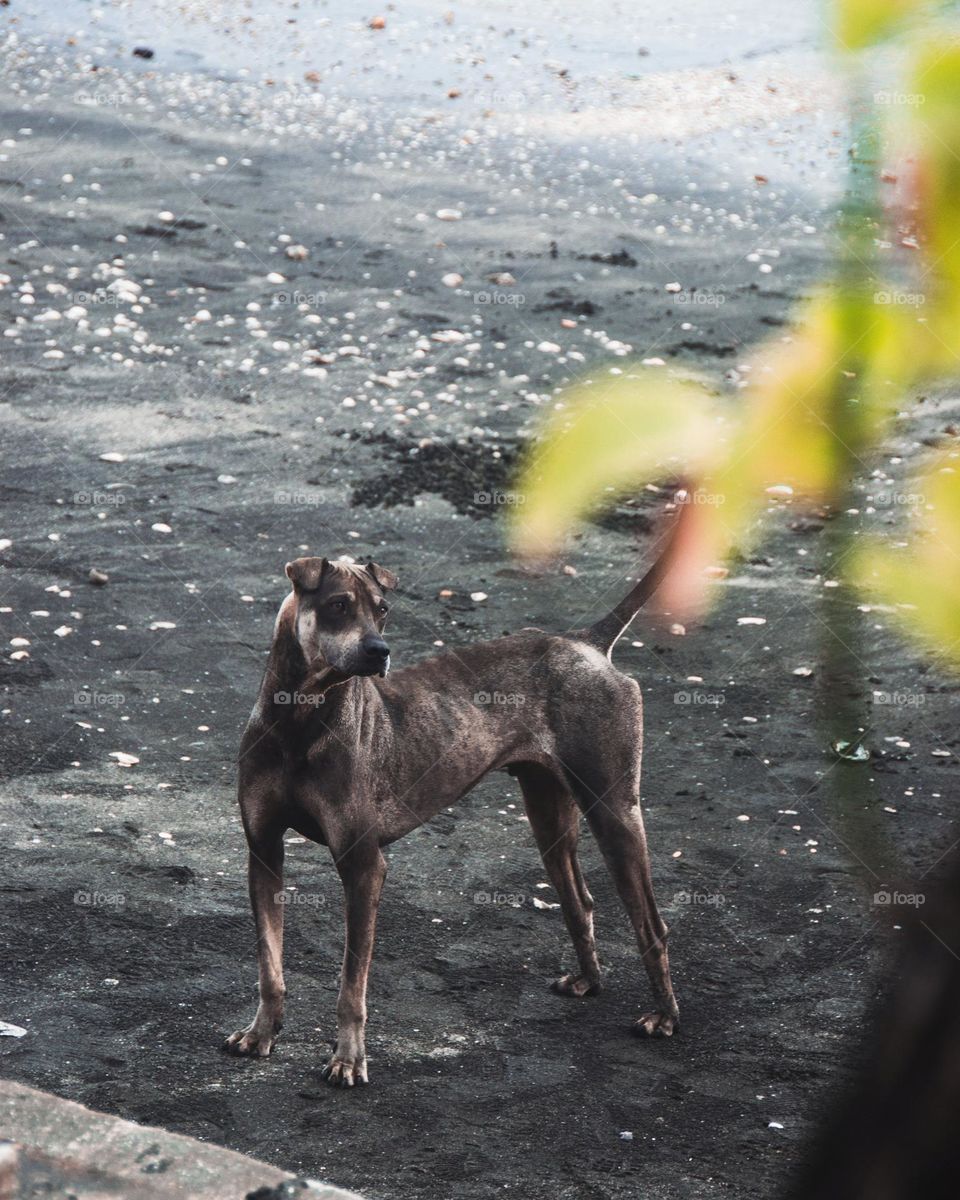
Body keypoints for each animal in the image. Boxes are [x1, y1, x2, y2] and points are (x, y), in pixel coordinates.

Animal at [223, 535, 681, 1089]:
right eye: (337, 606)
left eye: (383, 609)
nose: (379, 652)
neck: (301, 718)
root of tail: (586, 642)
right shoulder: (264, 851)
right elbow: (269, 965)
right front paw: (261, 1033)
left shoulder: (362, 865)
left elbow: (352, 985)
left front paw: (349, 1059)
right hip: (549, 811)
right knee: (581, 901)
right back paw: (588, 981)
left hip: (613, 809)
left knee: (651, 925)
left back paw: (664, 1017)